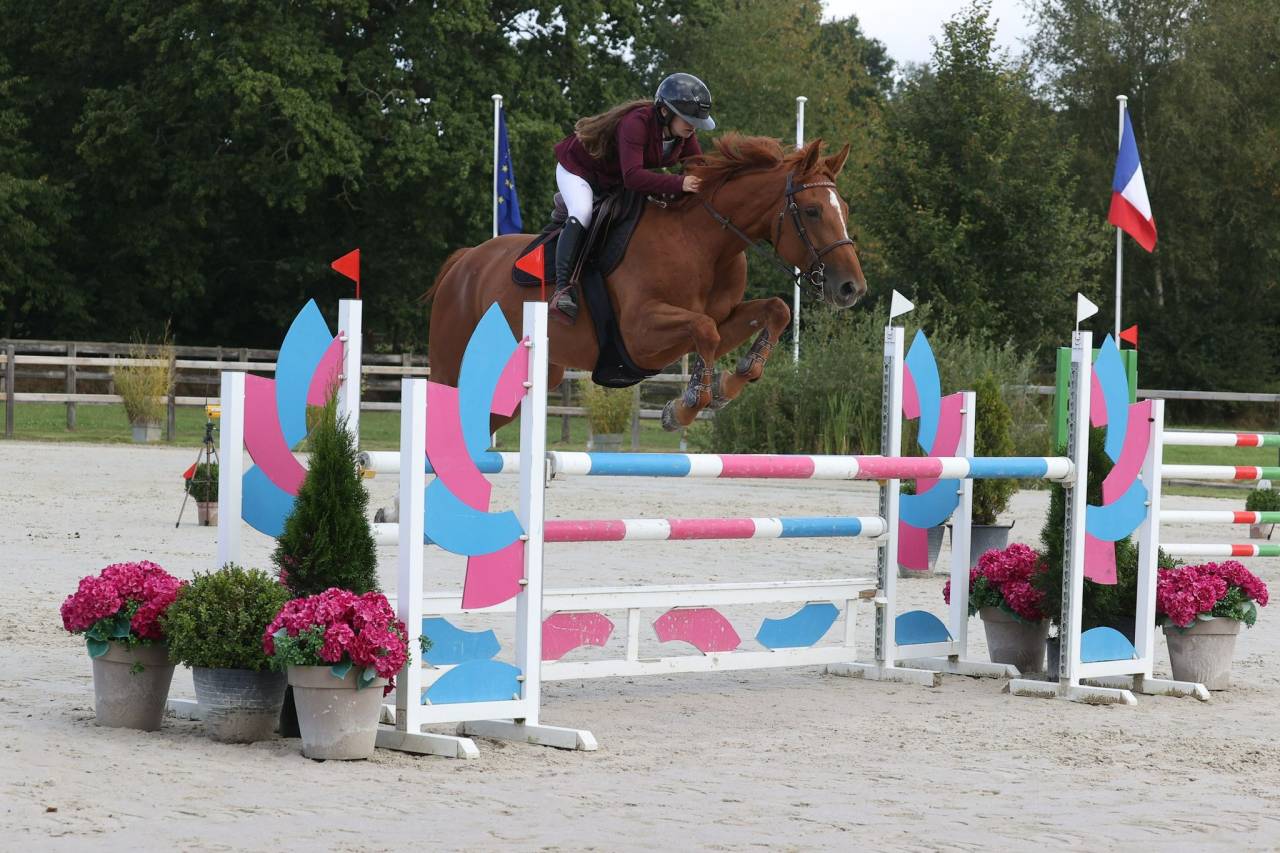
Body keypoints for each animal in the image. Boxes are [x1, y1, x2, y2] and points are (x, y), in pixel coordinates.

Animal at [422, 133, 867, 431]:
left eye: (844, 209)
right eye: (812, 211)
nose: (852, 289)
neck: (703, 242)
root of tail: (464, 262)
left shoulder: (718, 320)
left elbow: (774, 310)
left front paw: (730, 381)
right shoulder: (639, 334)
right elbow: (704, 330)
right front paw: (685, 407)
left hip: (530, 380)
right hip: (450, 364)